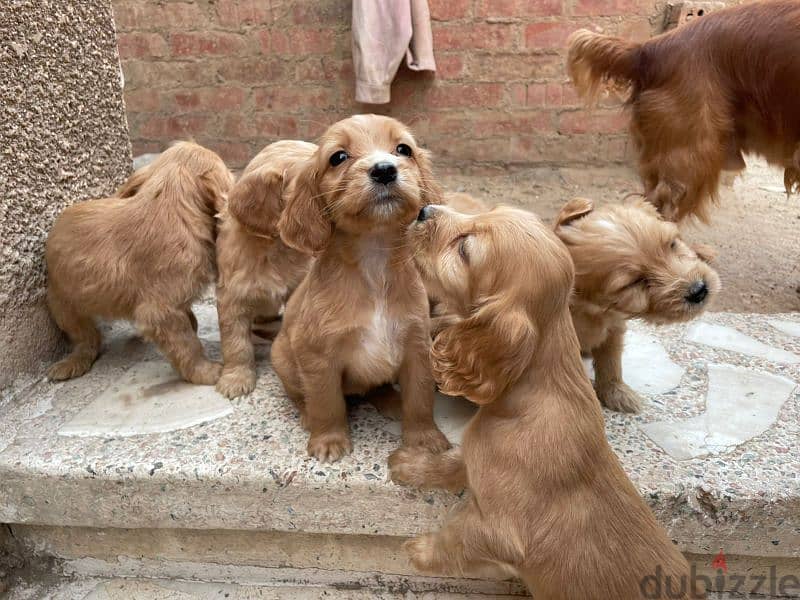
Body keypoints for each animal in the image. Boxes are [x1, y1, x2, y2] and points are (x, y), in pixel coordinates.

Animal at [45, 142, 231, 382]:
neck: (170, 204)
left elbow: (188, 322)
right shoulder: (160, 310)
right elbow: (187, 343)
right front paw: (206, 371)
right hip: (62, 303)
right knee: (86, 338)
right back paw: (73, 362)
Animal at [272, 115, 450, 462]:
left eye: (403, 149)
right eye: (338, 157)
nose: (384, 169)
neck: (374, 258)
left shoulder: (416, 345)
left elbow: (421, 399)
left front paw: (424, 440)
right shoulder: (317, 355)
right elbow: (326, 401)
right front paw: (328, 440)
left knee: (376, 386)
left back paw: (392, 401)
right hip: (282, 357)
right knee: (300, 394)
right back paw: (306, 414)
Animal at [390, 205, 704, 600]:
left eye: (464, 249)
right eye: (485, 210)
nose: (423, 210)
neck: (531, 395)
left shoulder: (499, 533)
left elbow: (456, 540)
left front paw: (418, 551)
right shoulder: (477, 454)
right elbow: (451, 462)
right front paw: (412, 465)